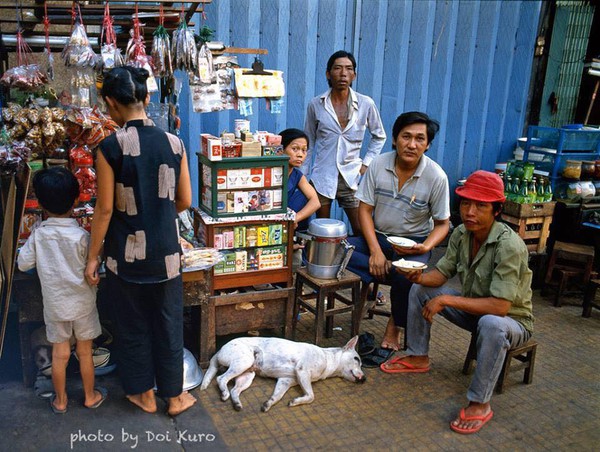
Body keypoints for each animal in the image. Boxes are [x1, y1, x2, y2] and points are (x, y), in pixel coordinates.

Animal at [200, 336, 366, 414]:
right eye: (357, 359)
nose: (364, 379)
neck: (328, 358)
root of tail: (219, 350)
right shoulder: (302, 371)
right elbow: (311, 396)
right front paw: (296, 401)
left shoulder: (286, 381)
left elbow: (277, 396)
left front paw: (268, 403)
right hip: (243, 362)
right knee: (221, 379)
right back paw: (224, 393)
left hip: (247, 376)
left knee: (235, 390)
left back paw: (237, 404)